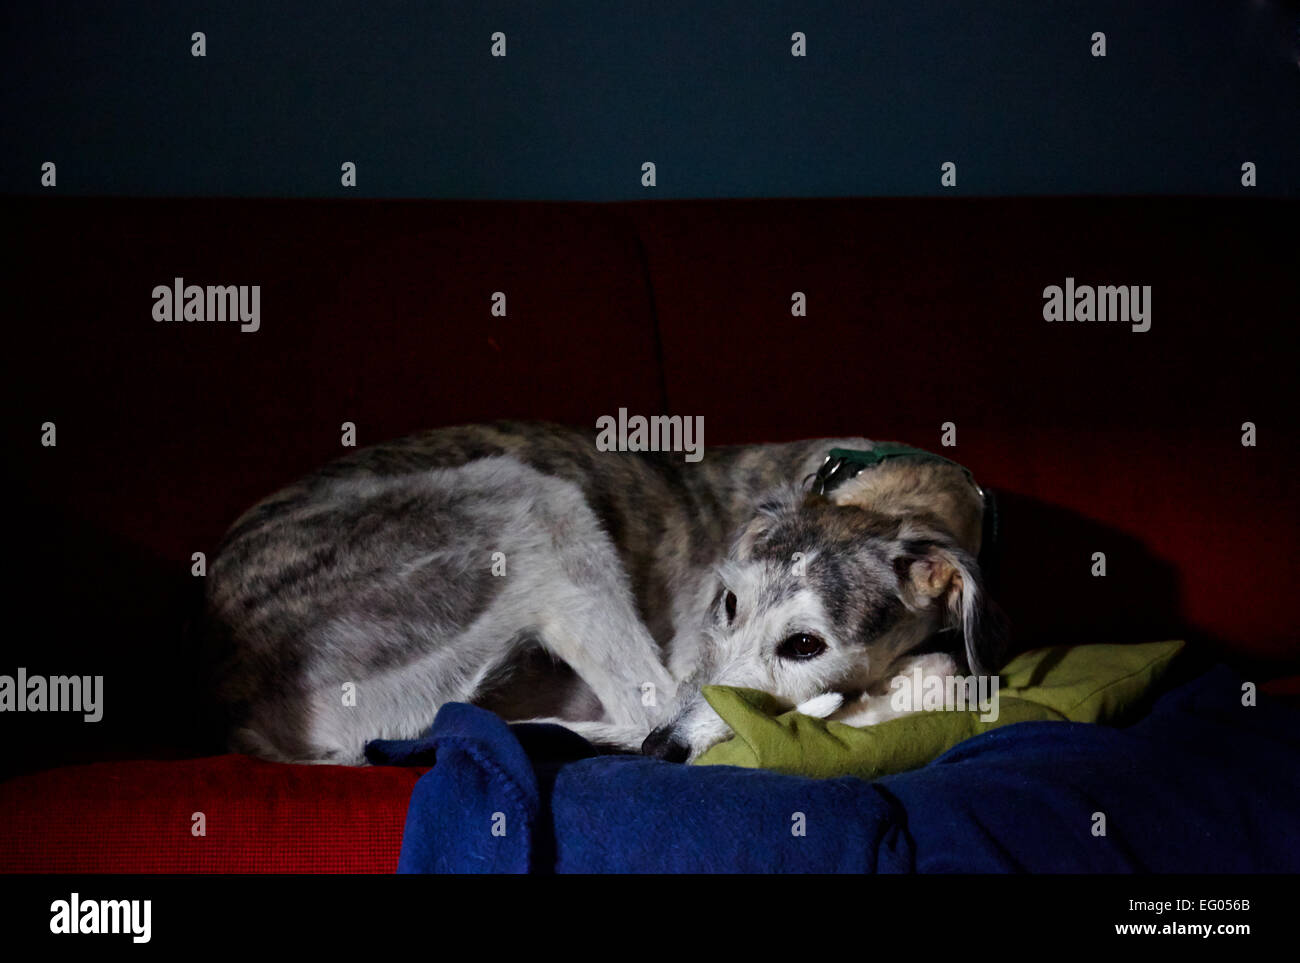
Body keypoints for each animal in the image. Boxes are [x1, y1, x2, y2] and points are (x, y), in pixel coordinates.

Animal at [208, 415, 1008, 764]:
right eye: (728, 603)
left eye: (806, 643)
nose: (662, 752)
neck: (892, 484)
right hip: (529, 499)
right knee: (641, 701)